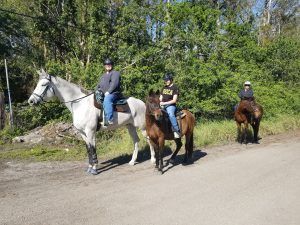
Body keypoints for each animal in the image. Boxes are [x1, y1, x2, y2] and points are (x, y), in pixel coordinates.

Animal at [28, 69, 156, 175]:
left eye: (44, 84)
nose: (31, 101)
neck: (80, 104)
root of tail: (142, 103)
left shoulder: (90, 132)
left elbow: (93, 149)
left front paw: (94, 169)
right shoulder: (82, 133)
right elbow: (88, 149)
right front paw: (90, 167)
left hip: (142, 127)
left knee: (149, 140)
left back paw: (153, 160)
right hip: (130, 126)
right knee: (136, 141)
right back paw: (132, 161)